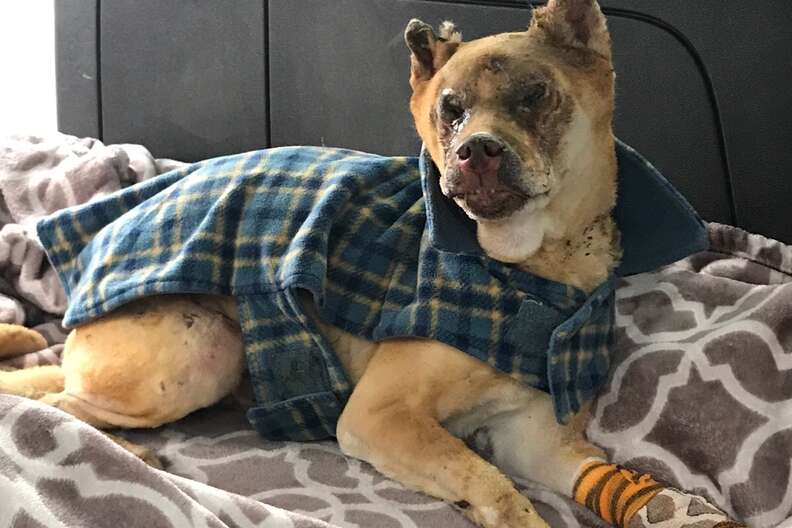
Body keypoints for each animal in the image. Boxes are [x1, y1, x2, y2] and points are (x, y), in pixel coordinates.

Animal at [0, 1, 744, 528]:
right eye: (451, 110)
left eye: (534, 95)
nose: (475, 152)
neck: (529, 275)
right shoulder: (381, 417)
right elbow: (488, 480)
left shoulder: (539, 440)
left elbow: (607, 477)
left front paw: (679, 511)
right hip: (206, 346)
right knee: (60, 408)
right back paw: (128, 453)